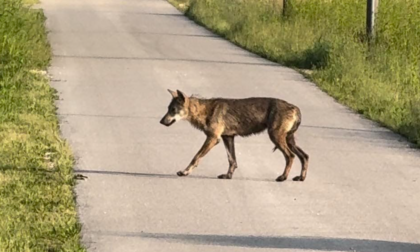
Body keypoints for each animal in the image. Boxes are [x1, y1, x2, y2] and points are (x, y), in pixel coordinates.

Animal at [158, 89, 308, 182]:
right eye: (168, 109)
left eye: (173, 110)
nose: (160, 121)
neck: (204, 111)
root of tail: (296, 108)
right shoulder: (228, 138)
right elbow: (232, 160)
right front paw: (228, 176)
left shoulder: (213, 139)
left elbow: (196, 157)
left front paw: (184, 172)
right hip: (288, 140)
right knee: (304, 156)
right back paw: (300, 178)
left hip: (276, 137)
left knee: (290, 156)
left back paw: (282, 177)